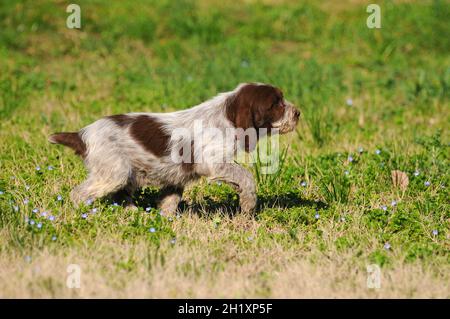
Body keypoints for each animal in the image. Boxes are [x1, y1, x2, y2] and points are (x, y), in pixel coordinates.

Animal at [49, 83, 300, 215]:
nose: (298, 113)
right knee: (78, 194)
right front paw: (248, 205)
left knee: (121, 197)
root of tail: (82, 134)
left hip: (124, 175)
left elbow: (170, 201)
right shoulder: (213, 163)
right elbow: (246, 176)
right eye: (277, 104)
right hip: (113, 172)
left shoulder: (177, 176)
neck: (225, 116)